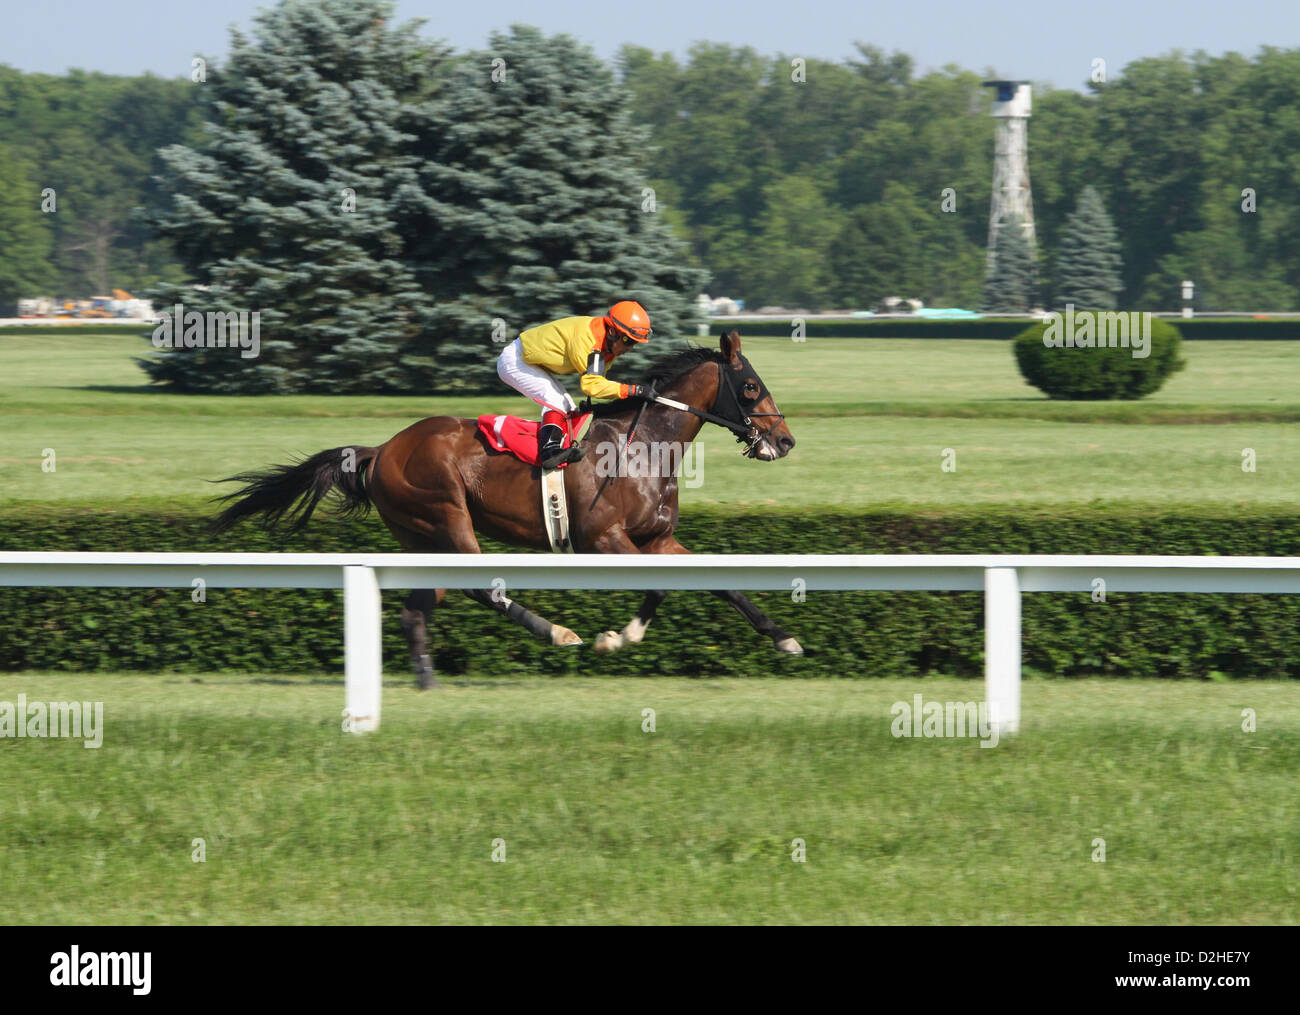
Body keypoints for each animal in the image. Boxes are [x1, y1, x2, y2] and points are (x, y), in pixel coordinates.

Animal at [211, 328, 795, 686]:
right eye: (750, 386)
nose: (785, 441)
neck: (644, 444)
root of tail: (381, 450)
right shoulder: (604, 538)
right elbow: (659, 586)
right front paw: (614, 638)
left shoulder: (657, 538)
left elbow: (714, 581)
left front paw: (784, 637)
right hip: (446, 515)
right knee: (478, 586)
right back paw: (558, 632)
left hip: (422, 537)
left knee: (418, 606)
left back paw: (426, 677)